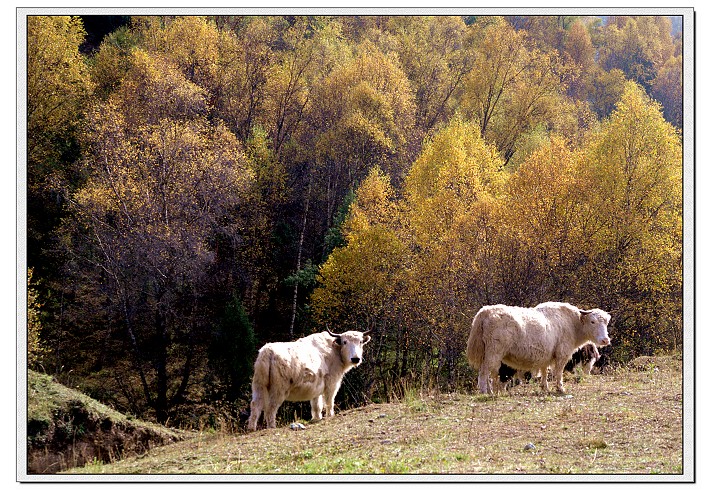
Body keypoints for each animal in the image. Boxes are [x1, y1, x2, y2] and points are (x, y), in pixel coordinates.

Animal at [468, 300, 612, 394]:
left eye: (606, 322)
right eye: (593, 321)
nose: (605, 340)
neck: (572, 323)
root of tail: (485, 312)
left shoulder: (546, 356)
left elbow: (544, 371)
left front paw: (545, 387)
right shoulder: (562, 354)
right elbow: (558, 372)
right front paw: (560, 388)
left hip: (487, 354)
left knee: (486, 372)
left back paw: (490, 391)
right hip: (494, 353)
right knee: (484, 372)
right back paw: (485, 392)